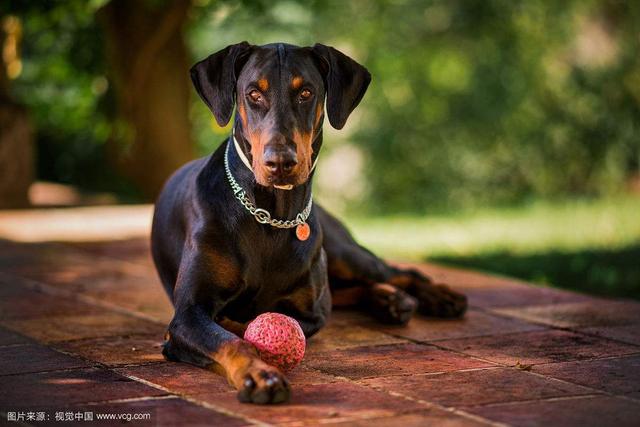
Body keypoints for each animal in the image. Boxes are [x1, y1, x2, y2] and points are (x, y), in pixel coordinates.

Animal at [152, 42, 468, 404]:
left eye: (306, 92)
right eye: (253, 94)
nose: (280, 162)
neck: (269, 216)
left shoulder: (311, 311)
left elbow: (272, 323)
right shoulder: (188, 313)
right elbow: (233, 337)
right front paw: (259, 374)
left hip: (343, 252)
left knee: (400, 272)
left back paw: (435, 297)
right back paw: (390, 301)